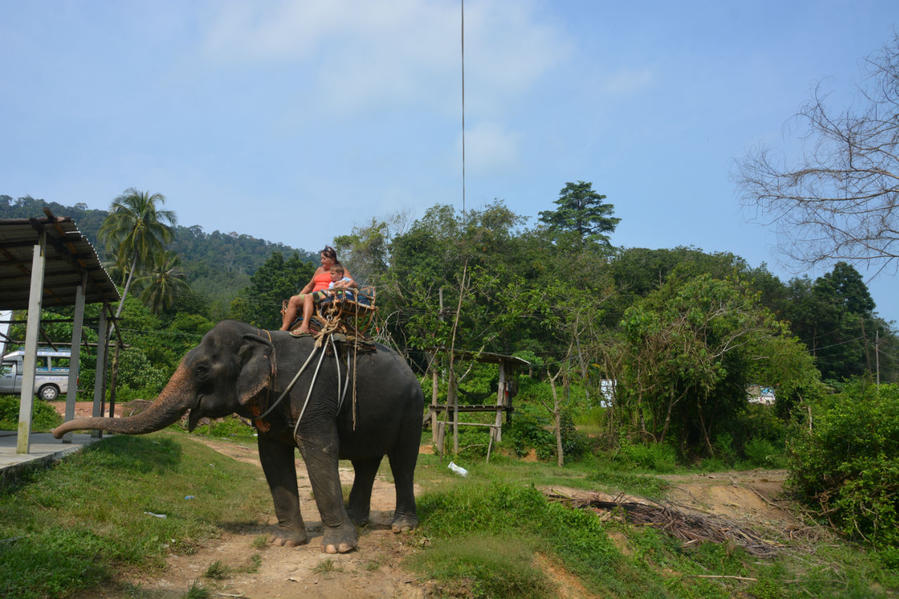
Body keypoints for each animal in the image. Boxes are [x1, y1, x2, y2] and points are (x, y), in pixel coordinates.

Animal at [52, 322, 426, 556]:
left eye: (202, 369)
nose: (58, 433)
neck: (262, 337)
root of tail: (412, 372)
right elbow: (271, 456)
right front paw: (284, 542)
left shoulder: (312, 394)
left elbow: (320, 450)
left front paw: (339, 548)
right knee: (367, 462)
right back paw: (359, 520)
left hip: (413, 408)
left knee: (403, 462)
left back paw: (402, 527)